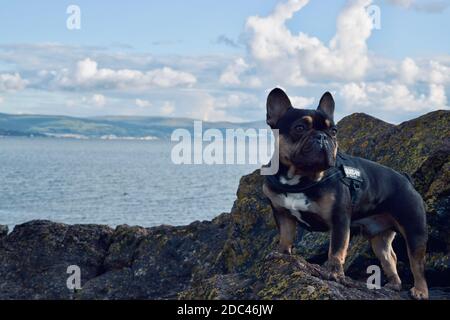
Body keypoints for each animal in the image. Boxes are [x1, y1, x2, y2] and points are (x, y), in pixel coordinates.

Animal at [264, 88, 428, 300]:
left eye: (333, 131)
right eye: (299, 128)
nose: (322, 136)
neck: (302, 178)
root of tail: (406, 179)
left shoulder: (339, 219)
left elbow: (336, 250)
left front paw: (334, 274)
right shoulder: (282, 213)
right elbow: (285, 236)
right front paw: (282, 255)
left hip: (414, 228)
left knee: (417, 263)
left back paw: (420, 291)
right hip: (379, 237)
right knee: (389, 256)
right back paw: (394, 285)